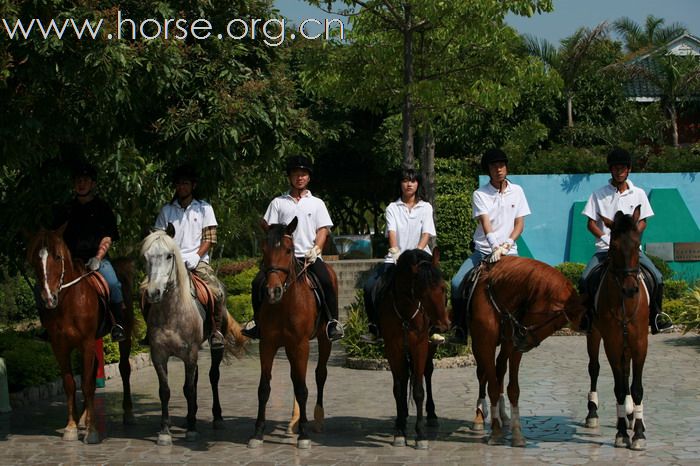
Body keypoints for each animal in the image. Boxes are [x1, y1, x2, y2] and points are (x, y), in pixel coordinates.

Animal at [27, 227, 135, 444]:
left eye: (57, 256)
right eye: (35, 259)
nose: (48, 298)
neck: (68, 301)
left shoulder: (86, 343)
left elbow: (86, 384)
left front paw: (92, 432)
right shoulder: (60, 347)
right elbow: (71, 384)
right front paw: (71, 426)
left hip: (124, 336)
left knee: (124, 369)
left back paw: (127, 413)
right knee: (93, 371)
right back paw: (84, 417)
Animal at [249, 217, 336, 450]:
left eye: (289, 250)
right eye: (264, 249)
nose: (273, 291)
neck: (284, 304)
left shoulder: (301, 344)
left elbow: (303, 388)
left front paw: (304, 435)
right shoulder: (268, 344)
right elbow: (264, 388)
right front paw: (257, 432)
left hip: (323, 340)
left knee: (319, 374)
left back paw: (317, 419)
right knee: (296, 377)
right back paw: (294, 421)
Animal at [378, 249, 448, 450]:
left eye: (443, 288)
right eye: (422, 293)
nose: (442, 326)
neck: (406, 312)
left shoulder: (420, 346)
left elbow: (418, 390)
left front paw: (420, 434)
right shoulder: (392, 348)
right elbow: (398, 389)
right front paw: (400, 431)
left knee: (427, 373)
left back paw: (431, 415)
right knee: (404, 379)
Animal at [468, 256, 588, 446]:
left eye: (559, 326)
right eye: (554, 320)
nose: (522, 340)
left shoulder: (515, 347)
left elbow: (513, 389)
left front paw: (517, 433)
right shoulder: (484, 343)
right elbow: (491, 386)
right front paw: (495, 432)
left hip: (507, 344)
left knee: (500, 369)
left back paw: (503, 415)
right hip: (480, 345)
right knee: (484, 374)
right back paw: (480, 417)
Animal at [584, 206, 648, 450]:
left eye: (638, 244)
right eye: (613, 247)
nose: (630, 289)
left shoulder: (640, 343)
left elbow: (636, 388)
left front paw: (638, 432)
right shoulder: (612, 343)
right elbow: (619, 388)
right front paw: (622, 434)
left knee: (627, 370)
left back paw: (631, 416)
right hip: (594, 335)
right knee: (594, 368)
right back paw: (592, 412)